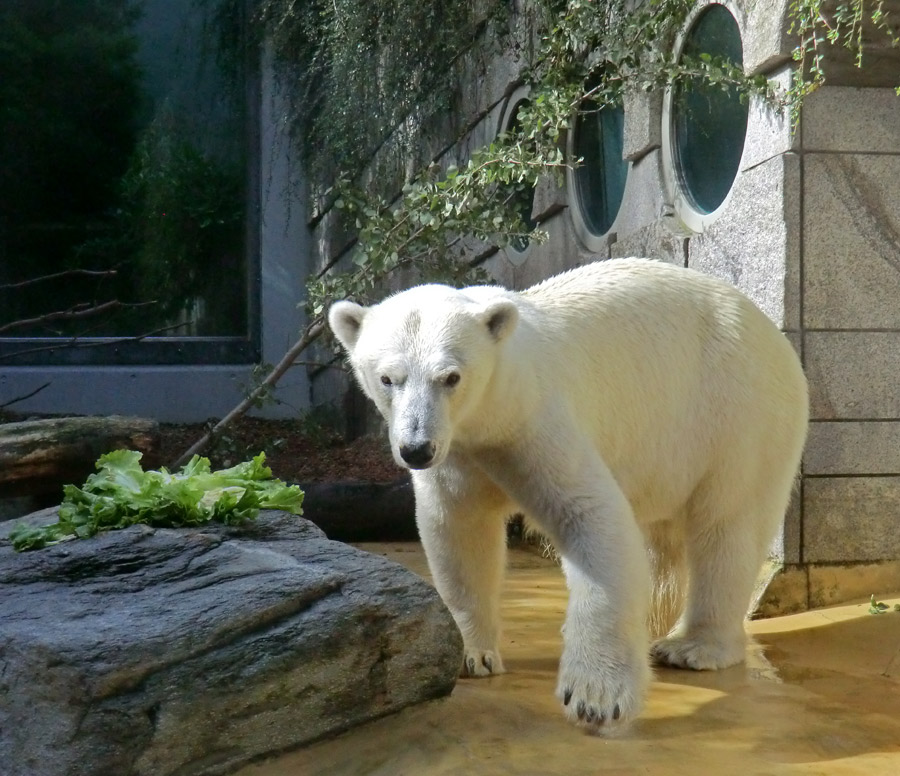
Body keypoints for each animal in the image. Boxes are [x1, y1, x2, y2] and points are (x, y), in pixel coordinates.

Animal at [328, 260, 808, 732]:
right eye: (387, 378)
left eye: (450, 377)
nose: (416, 449)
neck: (489, 415)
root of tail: (778, 339)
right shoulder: (460, 457)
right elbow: (459, 533)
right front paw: (470, 654)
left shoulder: (535, 420)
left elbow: (589, 516)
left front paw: (595, 698)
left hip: (735, 412)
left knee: (727, 524)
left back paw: (691, 647)